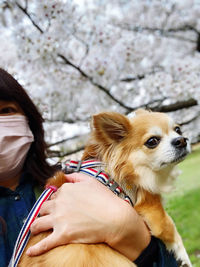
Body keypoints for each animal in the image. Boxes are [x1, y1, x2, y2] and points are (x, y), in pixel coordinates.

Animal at [19, 109, 192, 267]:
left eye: (178, 129)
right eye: (152, 141)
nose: (182, 140)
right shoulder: (151, 207)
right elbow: (170, 227)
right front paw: (184, 257)